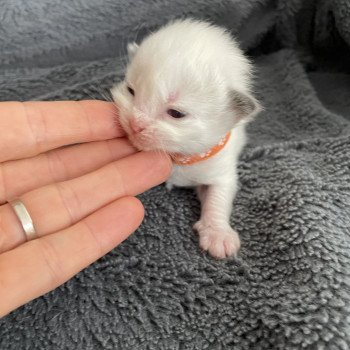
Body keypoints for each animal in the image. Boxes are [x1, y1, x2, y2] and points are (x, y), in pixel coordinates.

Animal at [110, 19, 262, 260]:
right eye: (130, 90)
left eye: (176, 113)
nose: (135, 123)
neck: (178, 156)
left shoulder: (221, 168)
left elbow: (219, 195)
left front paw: (218, 234)